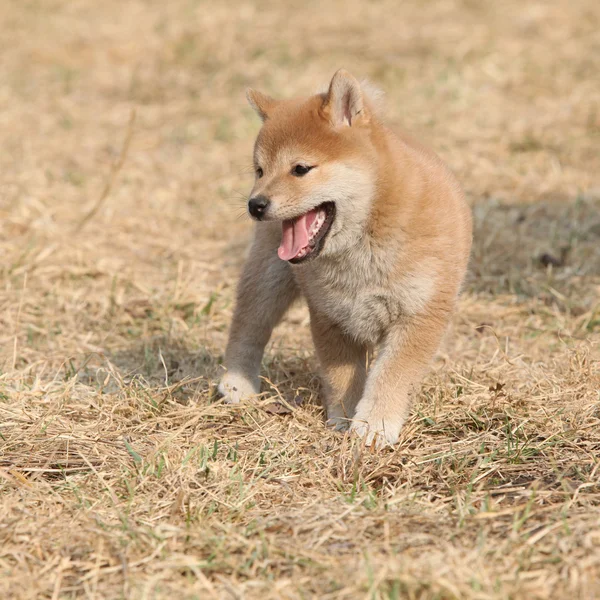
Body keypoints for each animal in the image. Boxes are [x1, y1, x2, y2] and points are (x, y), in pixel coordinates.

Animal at [218, 69, 472, 446]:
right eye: (259, 170)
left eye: (301, 169)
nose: (255, 204)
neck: (365, 244)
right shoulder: (331, 317)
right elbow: (341, 380)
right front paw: (343, 421)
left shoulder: (418, 316)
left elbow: (391, 376)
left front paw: (375, 425)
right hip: (267, 278)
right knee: (249, 326)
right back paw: (236, 384)